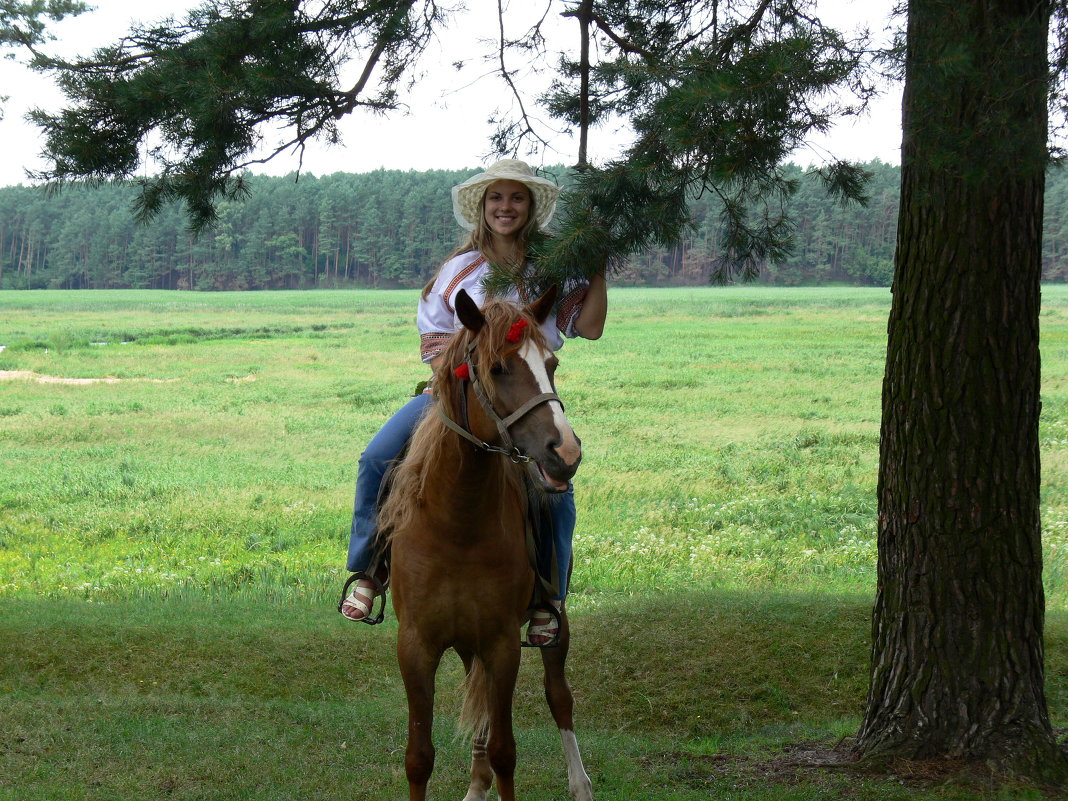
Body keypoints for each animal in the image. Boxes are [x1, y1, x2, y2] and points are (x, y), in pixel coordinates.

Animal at [378, 288, 598, 801]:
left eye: (552, 363)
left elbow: (505, 751)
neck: (458, 522)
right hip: (465, 641)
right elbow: (419, 757)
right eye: (497, 368)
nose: (566, 453)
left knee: (560, 697)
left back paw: (580, 784)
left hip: (553, 621)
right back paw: (476, 786)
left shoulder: (502, 644)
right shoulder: (416, 645)